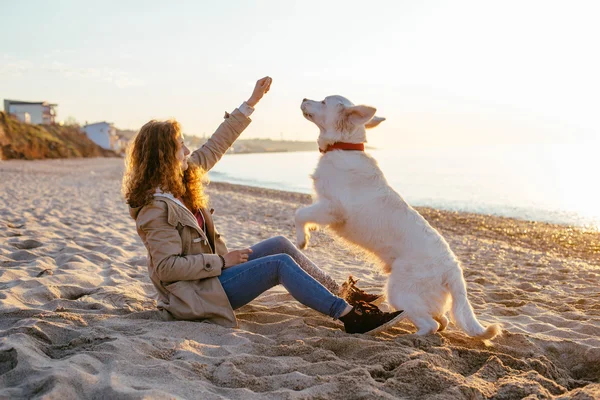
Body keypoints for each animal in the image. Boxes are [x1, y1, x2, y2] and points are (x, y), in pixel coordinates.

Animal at [296, 95, 502, 340]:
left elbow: (299, 214)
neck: (343, 148)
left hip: (399, 291)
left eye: (324, 101)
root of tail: (453, 271)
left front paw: (302, 240)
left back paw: (408, 337)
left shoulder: (333, 208)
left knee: (431, 325)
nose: (304, 98)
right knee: (440, 320)